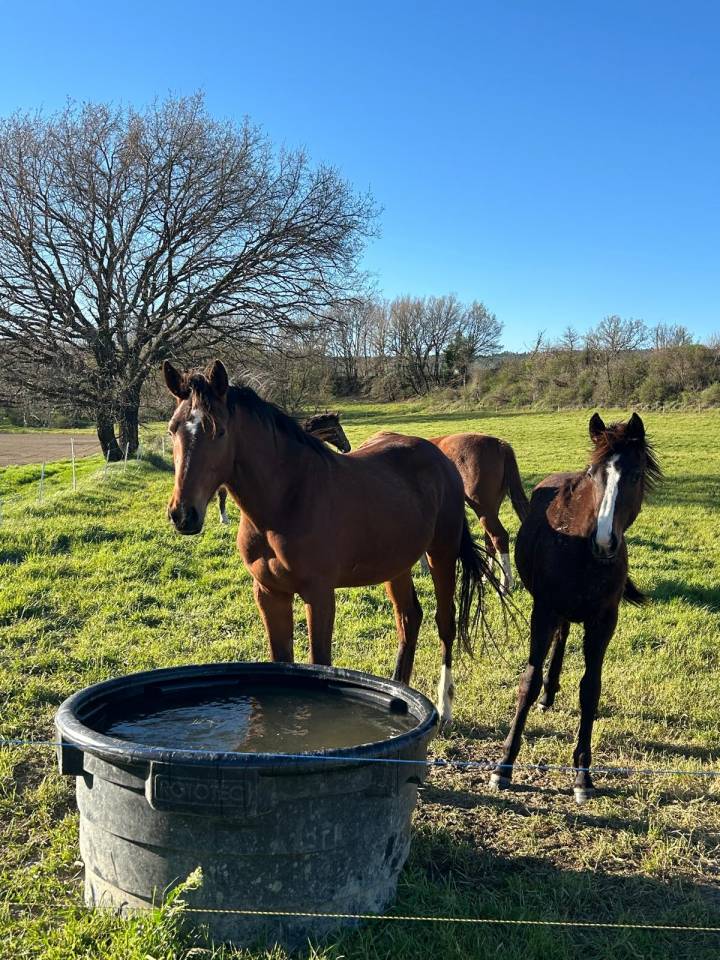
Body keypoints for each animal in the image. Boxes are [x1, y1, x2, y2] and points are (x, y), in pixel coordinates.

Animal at [429, 434, 529, 594]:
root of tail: (499, 444)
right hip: (491, 509)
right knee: (490, 541)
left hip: (483, 508)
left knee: (499, 537)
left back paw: (505, 585)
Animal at [490, 412, 660, 803]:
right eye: (593, 474)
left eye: (634, 475)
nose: (605, 542)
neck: (582, 550)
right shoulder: (543, 611)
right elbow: (527, 680)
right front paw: (505, 764)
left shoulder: (604, 621)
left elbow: (590, 689)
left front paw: (583, 774)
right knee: (560, 637)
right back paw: (546, 694)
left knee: (564, 637)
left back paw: (551, 692)